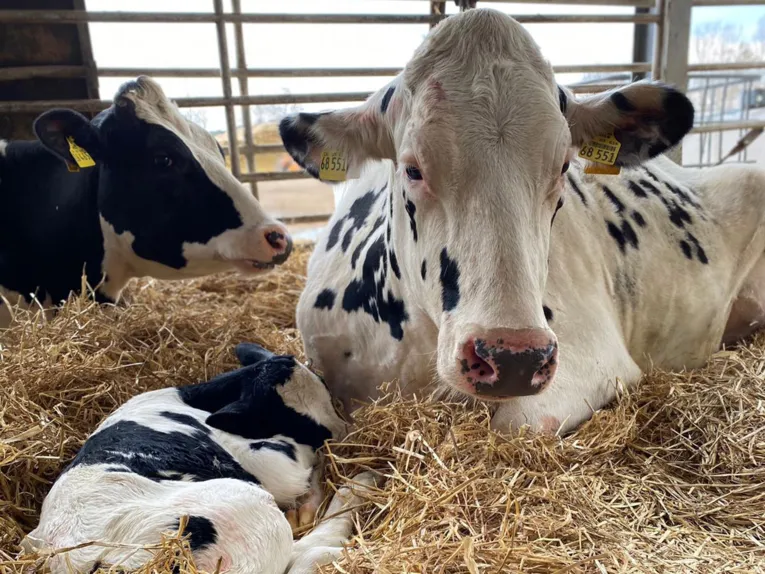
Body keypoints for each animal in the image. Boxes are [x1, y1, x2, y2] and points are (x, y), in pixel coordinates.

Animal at [22, 342, 376, 574]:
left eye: (326, 386)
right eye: (303, 423)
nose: (344, 430)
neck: (198, 399)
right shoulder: (271, 462)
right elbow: (305, 468)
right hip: (248, 507)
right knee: (299, 556)